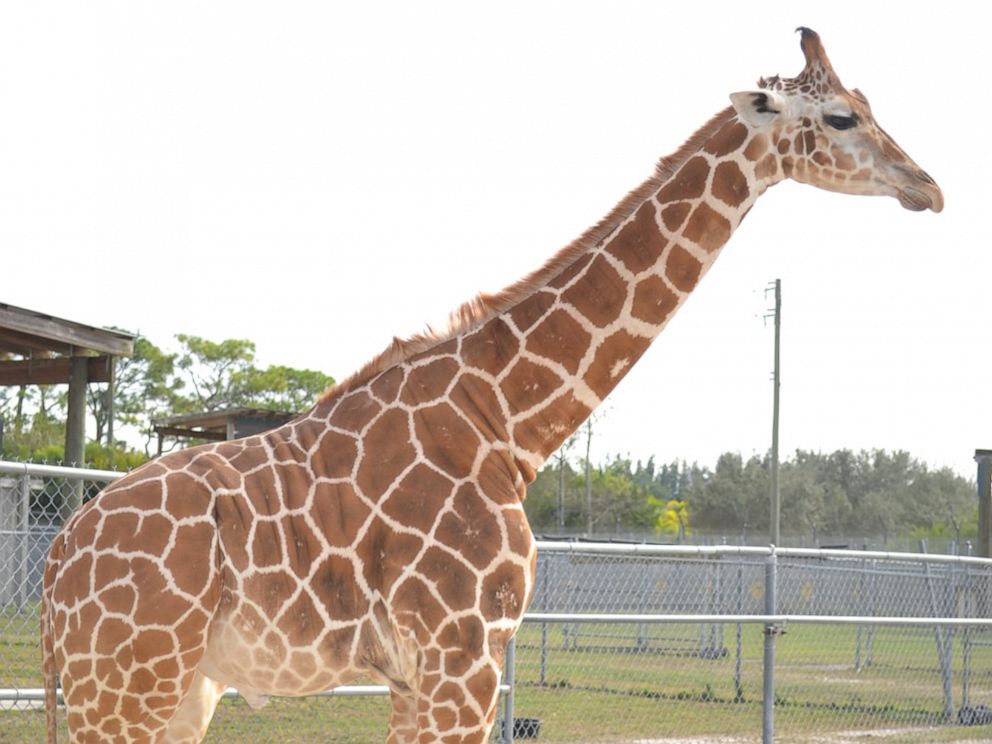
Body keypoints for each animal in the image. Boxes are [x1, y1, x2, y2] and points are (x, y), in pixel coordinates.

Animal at [42, 29, 940, 744]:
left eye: (867, 103)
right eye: (841, 117)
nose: (927, 185)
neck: (507, 419)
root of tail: (54, 570)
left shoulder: (424, 672)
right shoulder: (464, 654)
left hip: (181, 690)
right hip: (127, 683)